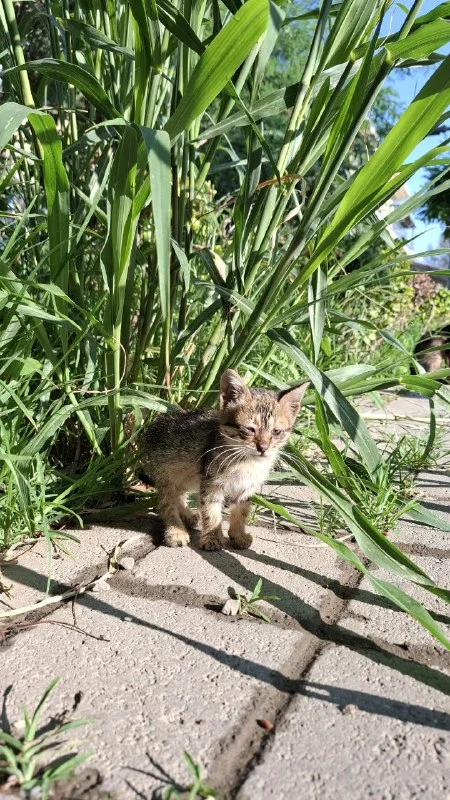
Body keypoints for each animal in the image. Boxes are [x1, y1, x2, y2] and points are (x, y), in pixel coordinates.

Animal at [137, 369, 308, 551]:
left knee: (179, 494)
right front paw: (212, 537)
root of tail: (153, 425)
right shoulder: (211, 483)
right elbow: (211, 511)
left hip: (186, 475)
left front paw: (238, 536)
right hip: (167, 473)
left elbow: (241, 512)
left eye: (276, 432)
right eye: (250, 429)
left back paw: (188, 516)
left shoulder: (246, 487)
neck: (246, 463)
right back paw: (176, 531)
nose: (263, 447)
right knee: (166, 503)